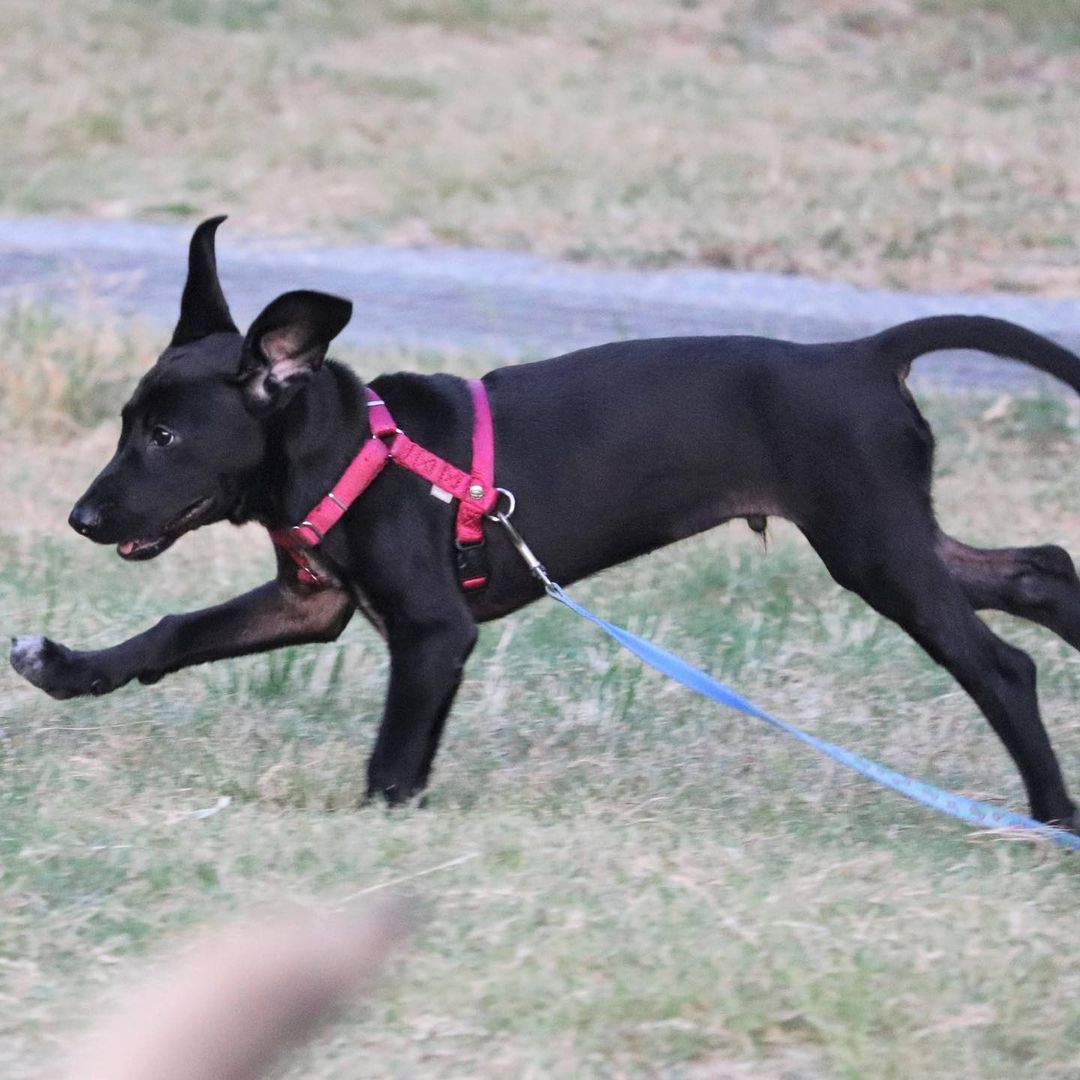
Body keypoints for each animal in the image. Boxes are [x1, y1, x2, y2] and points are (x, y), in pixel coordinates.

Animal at [8, 217, 1080, 825]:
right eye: (127, 424)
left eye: (165, 437)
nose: (81, 516)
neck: (349, 450)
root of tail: (860, 356)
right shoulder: (309, 605)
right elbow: (176, 631)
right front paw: (67, 668)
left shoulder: (434, 634)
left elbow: (393, 752)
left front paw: (369, 832)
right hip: (896, 534)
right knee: (1041, 566)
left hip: (872, 547)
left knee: (1000, 666)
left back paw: (1051, 814)